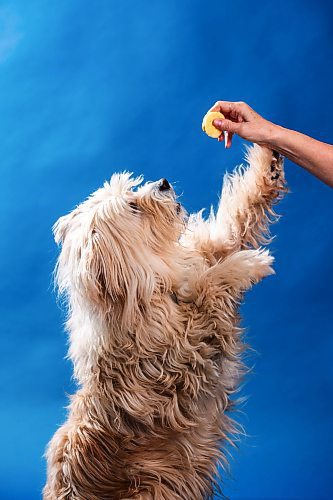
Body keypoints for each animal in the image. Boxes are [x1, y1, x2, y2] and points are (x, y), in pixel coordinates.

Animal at [43, 143, 286, 498]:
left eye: (131, 190)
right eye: (133, 206)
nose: (163, 182)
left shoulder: (206, 251)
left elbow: (237, 213)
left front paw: (268, 158)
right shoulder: (188, 355)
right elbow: (208, 290)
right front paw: (246, 265)